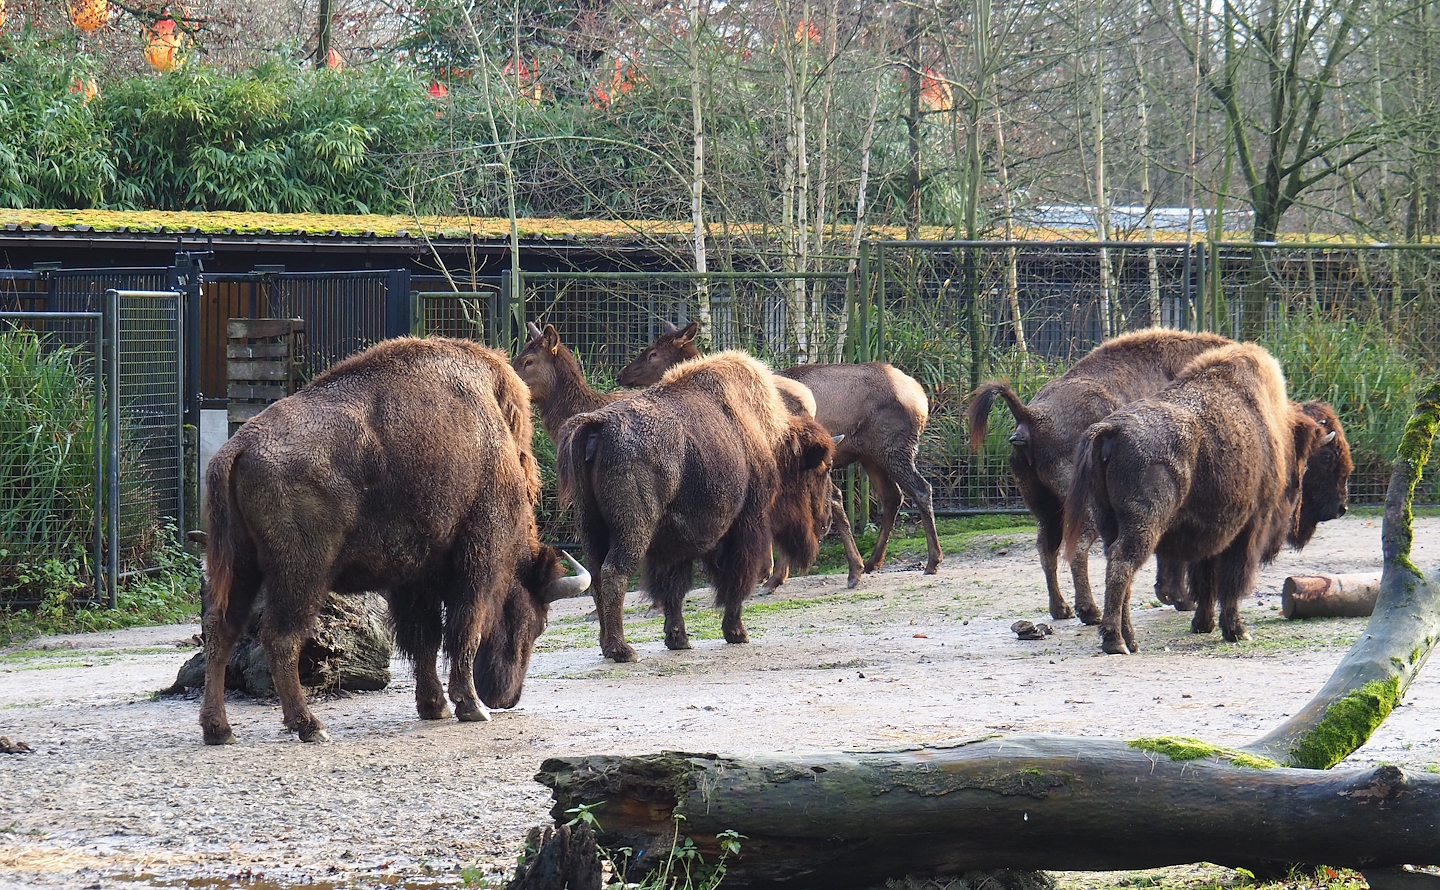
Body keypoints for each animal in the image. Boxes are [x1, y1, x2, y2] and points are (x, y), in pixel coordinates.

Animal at [200, 337, 590, 744]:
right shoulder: (476, 563)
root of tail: (238, 446)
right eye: (537, 622)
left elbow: (424, 638)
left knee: (221, 629)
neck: (498, 441)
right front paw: (471, 707)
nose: (505, 698)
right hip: (301, 573)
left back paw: (218, 729)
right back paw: (310, 726)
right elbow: (463, 629)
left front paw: (434, 706)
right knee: (280, 636)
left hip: (242, 566)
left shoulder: (415, 576)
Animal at [558, 351, 836, 663]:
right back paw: (623, 650)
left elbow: (673, 588)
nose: (826, 522)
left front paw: (678, 639)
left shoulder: (672, 544)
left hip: (591, 528)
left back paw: (607, 646)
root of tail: (598, 423)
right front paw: (737, 633)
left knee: (595, 577)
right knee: (614, 573)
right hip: (632, 532)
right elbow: (735, 580)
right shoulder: (745, 526)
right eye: (824, 468)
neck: (770, 440)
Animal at [618, 321, 940, 575]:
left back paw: (931, 561)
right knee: (892, 498)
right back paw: (871, 562)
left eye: (652, 353)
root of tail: (922, 398)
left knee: (921, 489)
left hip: (894, 448)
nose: (622, 374)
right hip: (871, 456)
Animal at [1059, 343, 1337, 654]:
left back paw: (1131, 640)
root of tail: (1111, 430)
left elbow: (1206, 579)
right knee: (1123, 565)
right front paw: (1237, 630)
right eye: (1309, 460)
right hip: (1143, 525)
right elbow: (1232, 579)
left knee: (1119, 572)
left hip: (1109, 523)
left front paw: (1203, 624)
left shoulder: (1212, 532)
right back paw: (1115, 641)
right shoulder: (1250, 527)